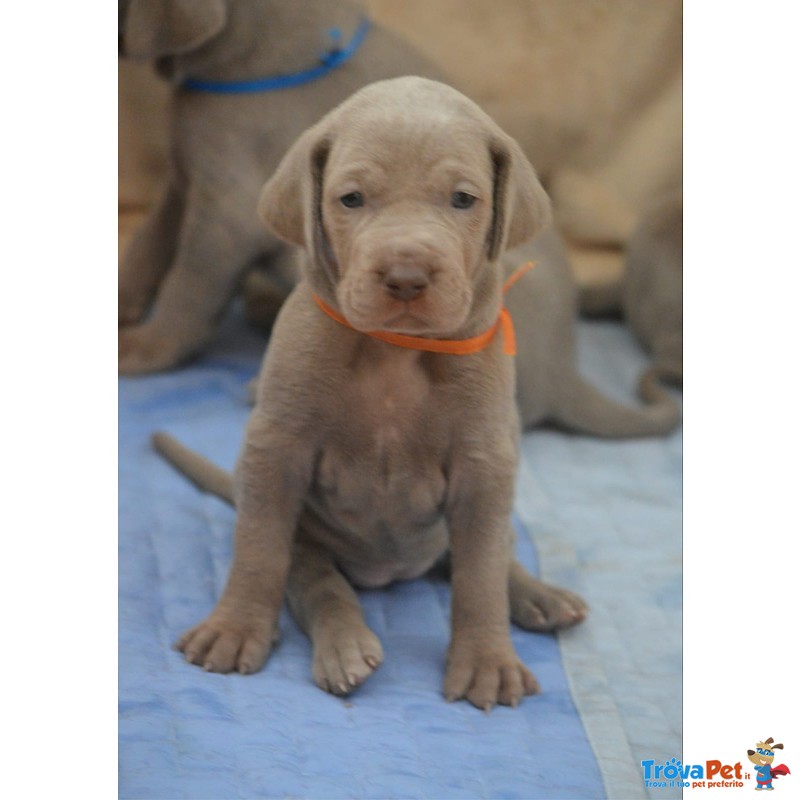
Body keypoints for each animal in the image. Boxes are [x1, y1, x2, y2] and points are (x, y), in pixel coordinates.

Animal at [158, 78, 588, 708]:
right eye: (352, 199)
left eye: (464, 200)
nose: (406, 276)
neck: (393, 350)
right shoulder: (275, 448)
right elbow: (258, 550)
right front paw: (234, 627)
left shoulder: (485, 466)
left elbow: (480, 575)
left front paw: (487, 659)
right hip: (307, 535)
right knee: (319, 584)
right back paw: (345, 648)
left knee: (494, 553)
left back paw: (540, 596)